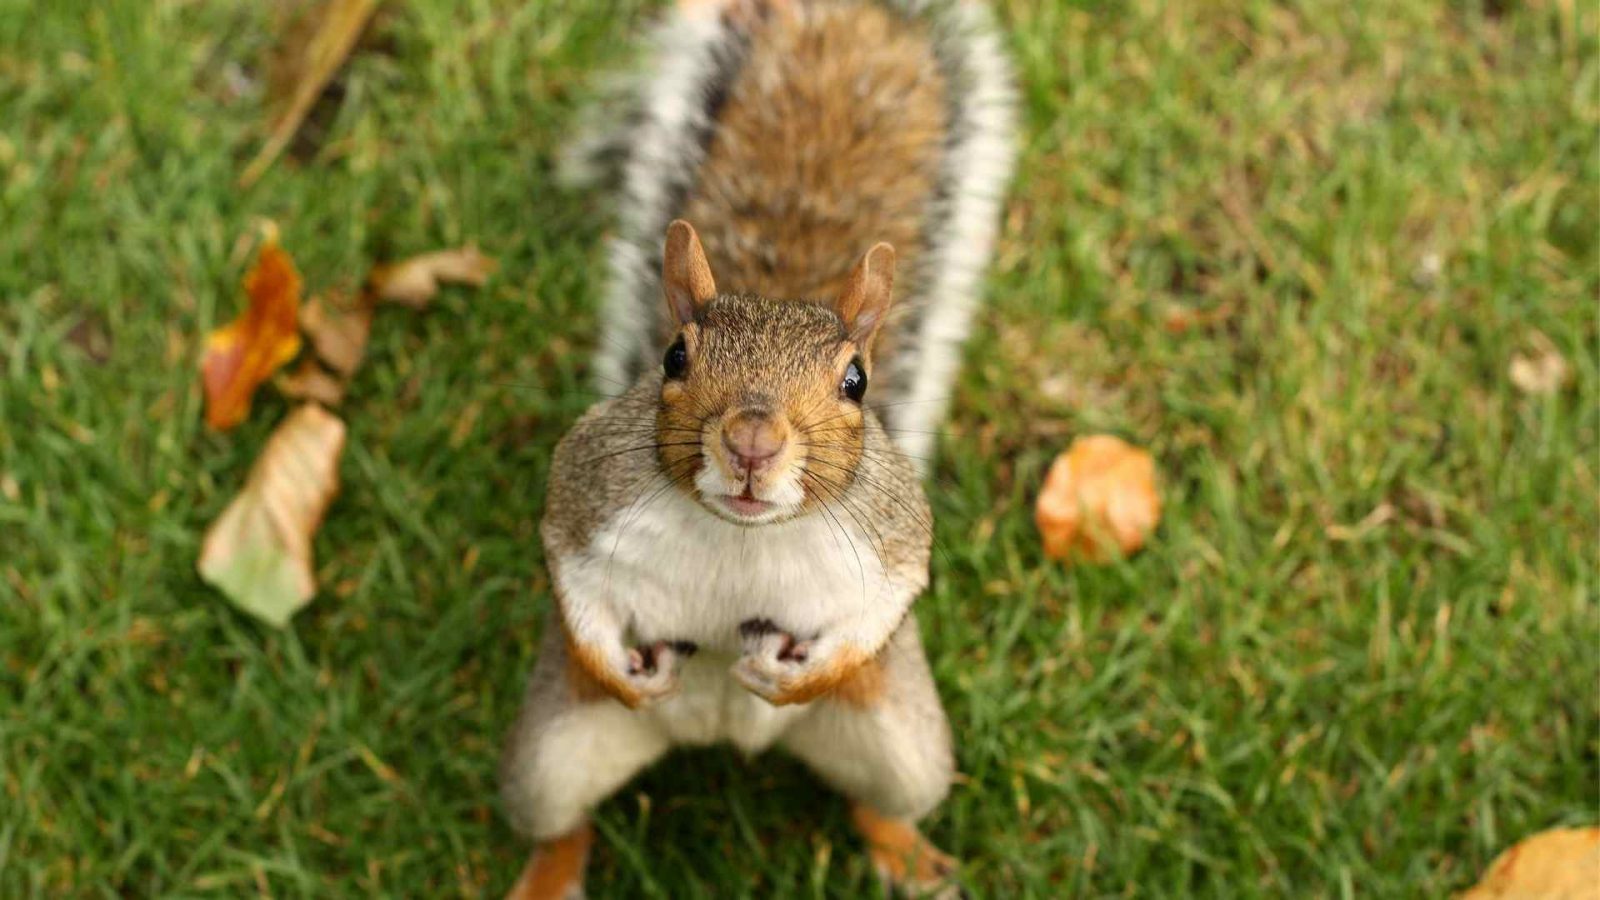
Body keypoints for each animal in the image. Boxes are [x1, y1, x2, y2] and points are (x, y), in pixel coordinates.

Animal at [500, 1, 1015, 898]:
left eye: (856, 381)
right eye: (674, 357)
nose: (751, 441)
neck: (740, 535)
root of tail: (716, 734)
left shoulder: (893, 533)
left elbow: (886, 601)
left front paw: (804, 672)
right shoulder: (587, 490)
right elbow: (569, 569)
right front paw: (614, 666)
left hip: (906, 746)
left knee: (882, 802)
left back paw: (910, 857)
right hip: (548, 761)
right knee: (561, 823)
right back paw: (547, 875)